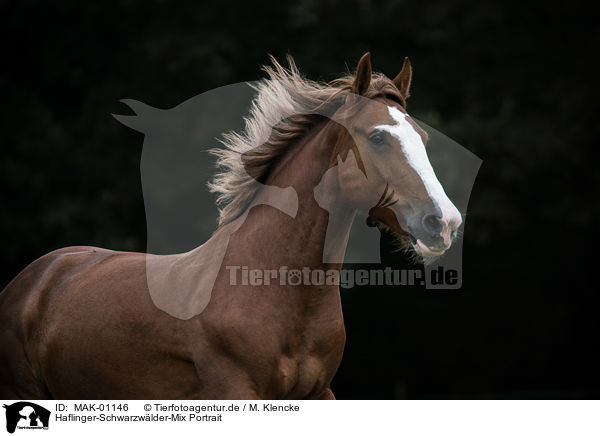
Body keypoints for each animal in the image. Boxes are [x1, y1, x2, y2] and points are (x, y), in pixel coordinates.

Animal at [0, 52, 460, 400]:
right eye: (378, 137)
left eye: (422, 138)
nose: (444, 221)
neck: (276, 287)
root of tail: (35, 277)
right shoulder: (236, 391)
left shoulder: (319, 393)